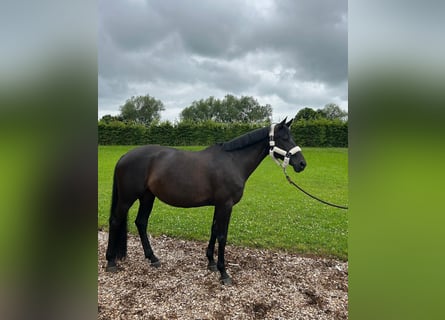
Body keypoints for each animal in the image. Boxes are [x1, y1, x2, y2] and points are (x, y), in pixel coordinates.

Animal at [104, 117, 306, 284]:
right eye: (284, 138)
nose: (302, 164)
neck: (233, 161)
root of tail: (124, 156)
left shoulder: (219, 205)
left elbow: (214, 230)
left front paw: (211, 263)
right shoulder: (226, 205)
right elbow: (223, 236)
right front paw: (224, 273)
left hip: (147, 197)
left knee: (141, 222)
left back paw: (152, 258)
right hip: (127, 199)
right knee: (115, 221)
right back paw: (111, 262)